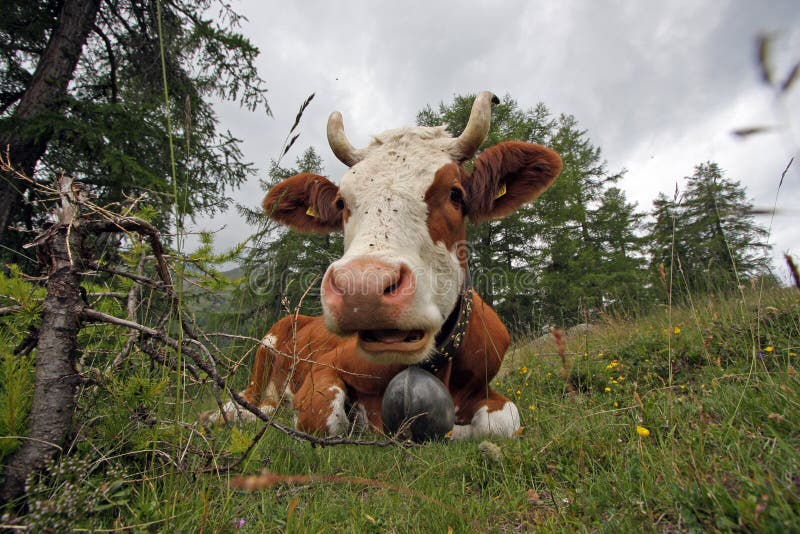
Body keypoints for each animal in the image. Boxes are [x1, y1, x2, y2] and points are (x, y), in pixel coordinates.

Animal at [202, 92, 562, 439]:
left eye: (455, 194)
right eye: (341, 203)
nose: (363, 288)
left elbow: (502, 422)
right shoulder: (325, 368)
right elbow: (324, 420)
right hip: (265, 350)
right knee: (247, 400)